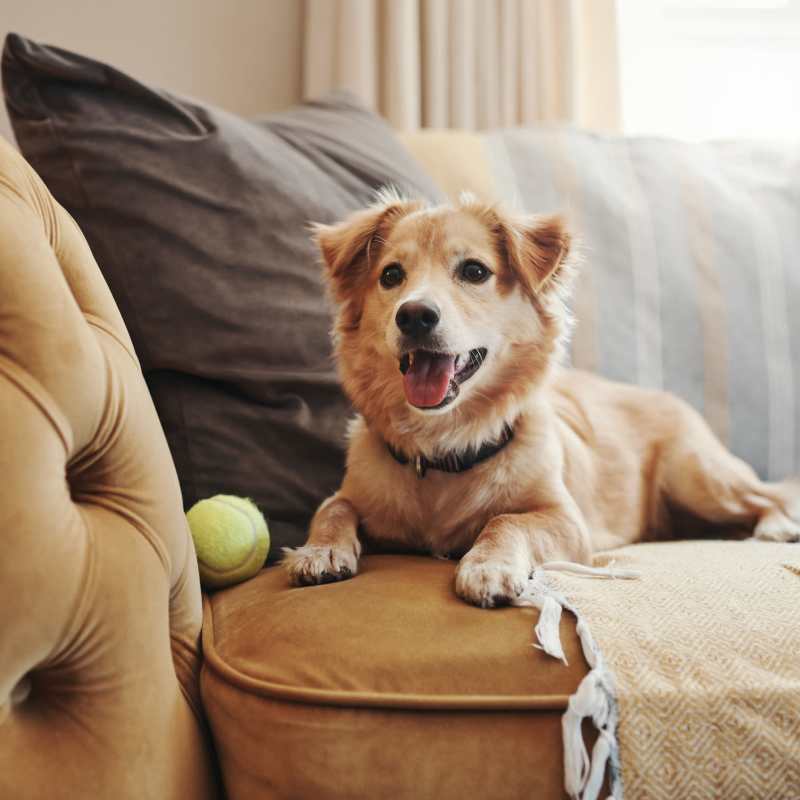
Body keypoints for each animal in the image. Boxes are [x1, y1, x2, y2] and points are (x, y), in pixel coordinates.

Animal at [282, 192, 800, 608]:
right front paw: (319, 550)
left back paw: (775, 526)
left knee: (767, 495)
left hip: (697, 476)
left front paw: (487, 567)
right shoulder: (354, 494)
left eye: (474, 271)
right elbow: (332, 507)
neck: (445, 446)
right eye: (391, 275)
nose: (413, 315)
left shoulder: (566, 522)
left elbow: (506, 521)